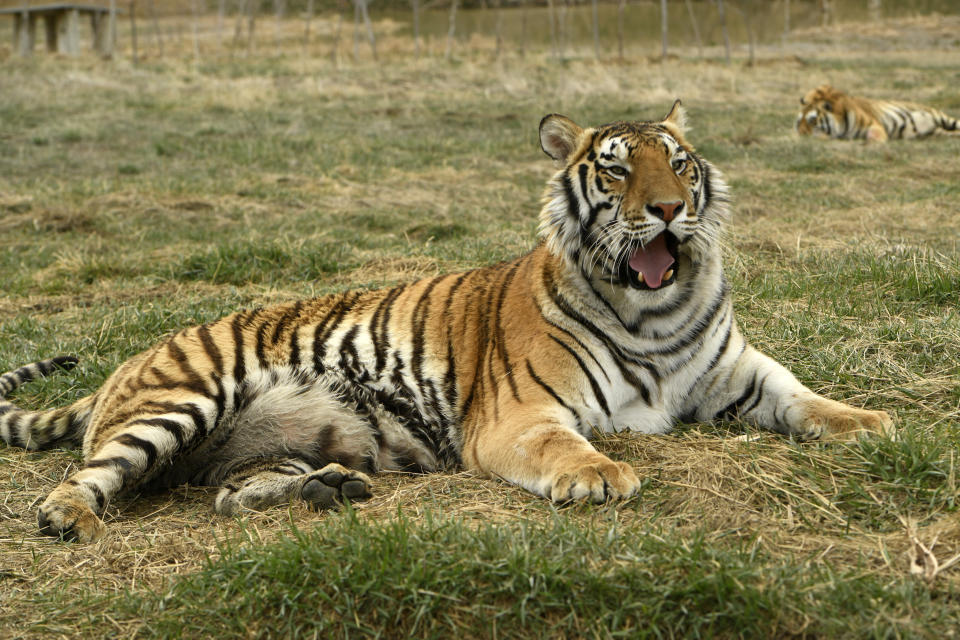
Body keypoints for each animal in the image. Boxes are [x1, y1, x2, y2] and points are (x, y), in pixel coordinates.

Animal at [0, 102, 892, 544]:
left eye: (676, 162)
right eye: (614, 169)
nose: (670, 209)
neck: (655, 312)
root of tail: (125, 364)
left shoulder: (737, 371)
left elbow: (802, 395)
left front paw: (869, 422)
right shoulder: (521, 417)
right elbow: (567, 447)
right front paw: (600, 474)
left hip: (285, 440)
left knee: (228, 495)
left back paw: (329, 491)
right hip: (182, 402)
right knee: (90, 475)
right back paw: (69, 518)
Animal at [796, 84, 960, 142]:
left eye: (812, 121)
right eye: (798, 124)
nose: (801, 135)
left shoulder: (873, 123)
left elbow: (823, 89)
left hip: (943, 118)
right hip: (938, 132)